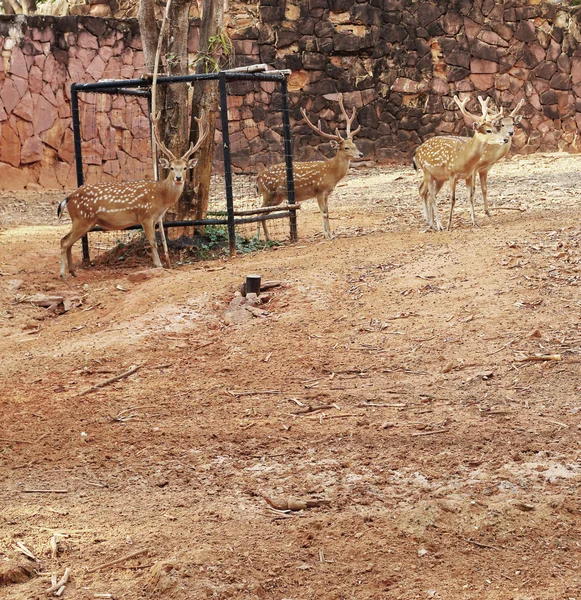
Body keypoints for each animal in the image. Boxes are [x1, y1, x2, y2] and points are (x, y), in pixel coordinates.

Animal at [56, 110, 208, 278]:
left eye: (185, 168)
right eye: (172, 168)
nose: (179, 178)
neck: (160, 198)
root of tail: (68, 198)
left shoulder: (154, 218)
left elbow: (156, 241)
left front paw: (159, 263)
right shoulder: (145, 215)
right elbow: (153, 241)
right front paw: (159, 264)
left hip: (82, 220)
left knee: (68, 242)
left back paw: (72, 271)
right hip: (82, 218)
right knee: (64, 241)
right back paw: (63, 274)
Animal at [255, 95, 360, 240]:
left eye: (354, 144)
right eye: (346, 147)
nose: (361, 154)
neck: (331, 173)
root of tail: (258, 177)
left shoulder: (327, 193)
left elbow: (328, 212)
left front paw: (330, 234)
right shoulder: (319, 190)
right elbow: (324, 213)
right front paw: (327, 235)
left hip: (277, 197)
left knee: (263, 214)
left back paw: (267, 238)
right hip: (268, 193)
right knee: (258, 213)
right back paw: (258, 239)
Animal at [412, 97, 508, 231]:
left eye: (496, 129)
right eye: (488, 130)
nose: (505, 139)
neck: (464, 157)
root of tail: (416, 153)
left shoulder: (469, 175)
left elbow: (471, 196)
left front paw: (475, 223)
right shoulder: (452, 174)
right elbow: (452, 199)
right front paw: (449, 225)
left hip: (439, 178)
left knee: (428, 194)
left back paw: (431, 224)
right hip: (427, 173)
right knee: (431, 196)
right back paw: (439, 225)